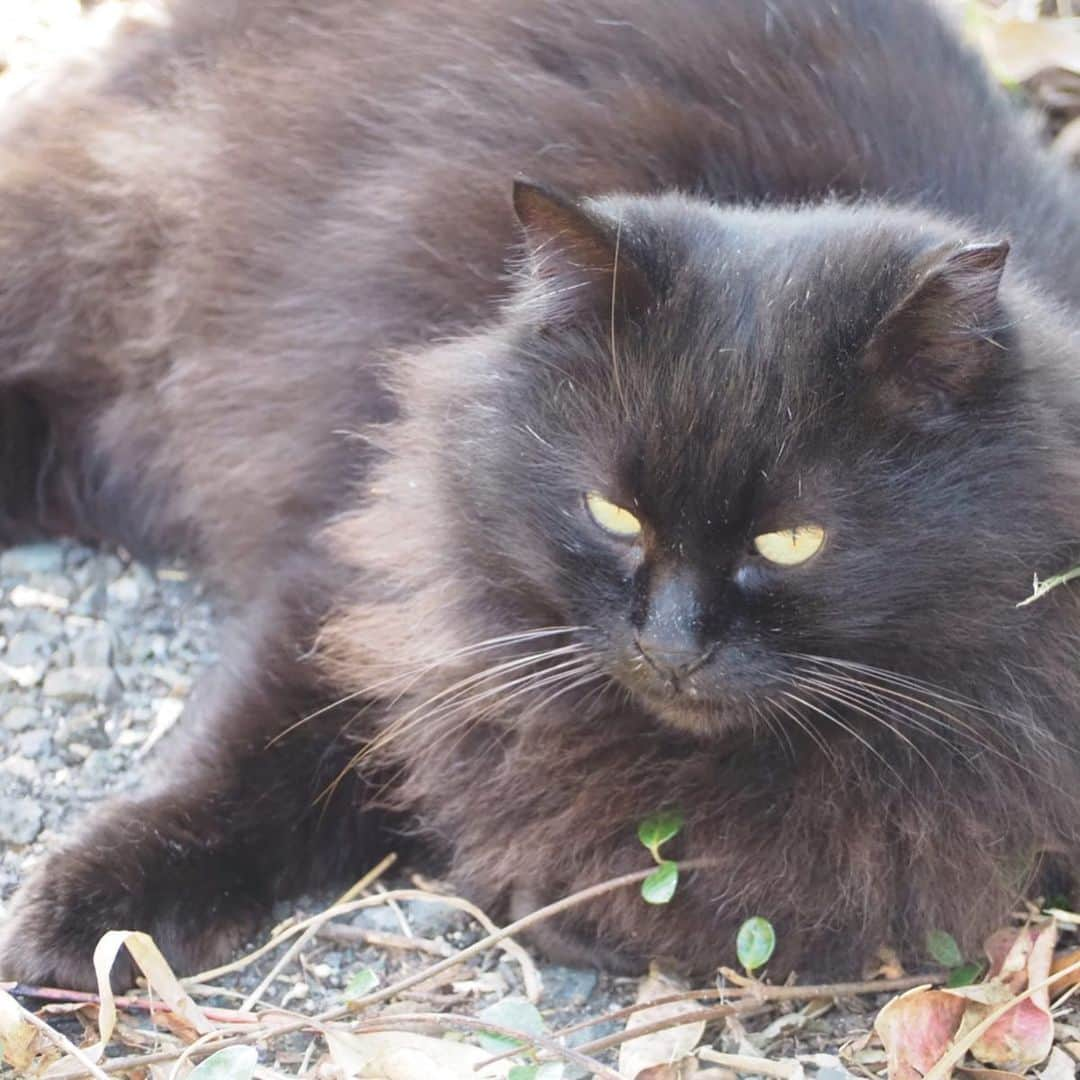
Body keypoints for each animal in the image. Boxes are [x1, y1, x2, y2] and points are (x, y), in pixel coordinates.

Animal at [2, 0, 1080, 989]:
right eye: (613, 515)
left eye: (788, 543)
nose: (672, 645)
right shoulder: (365, 583)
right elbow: (246, 758)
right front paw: (92, 913)